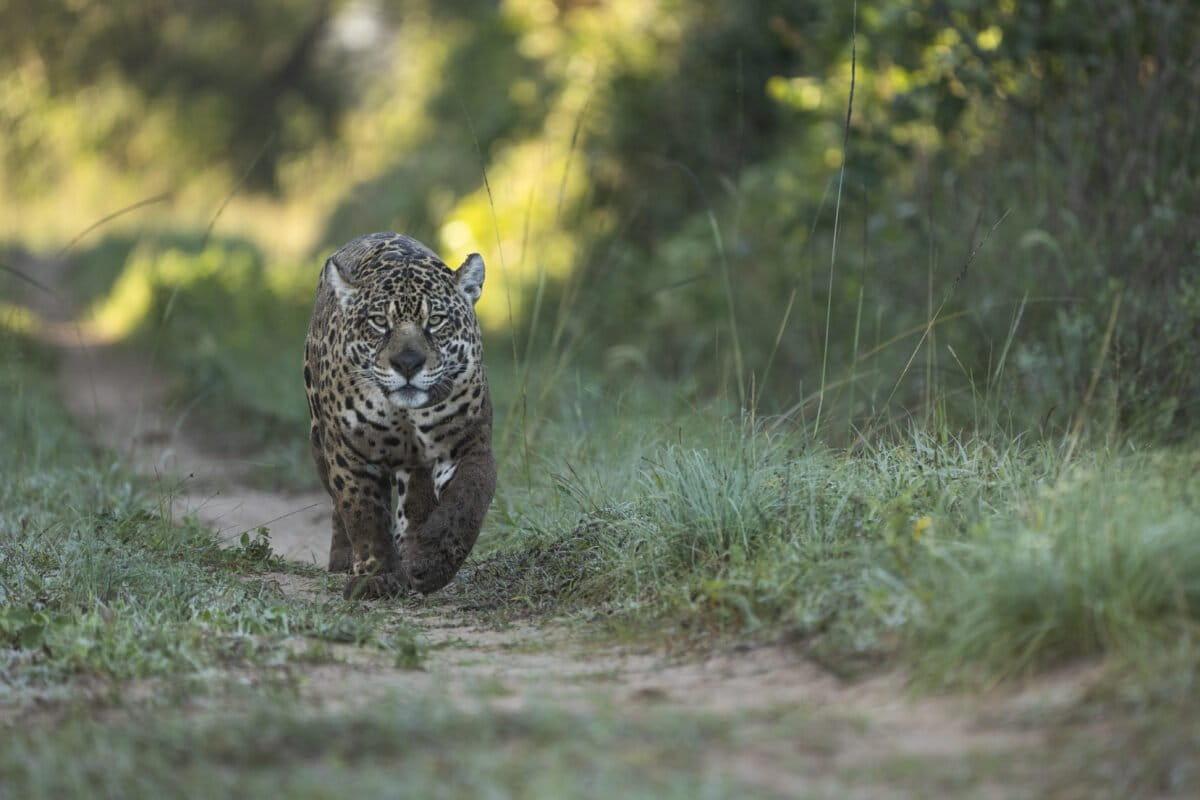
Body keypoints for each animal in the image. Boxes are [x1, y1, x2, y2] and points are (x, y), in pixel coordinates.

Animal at [303, 232, 496, 599]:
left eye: (435, 320)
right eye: (380, 322)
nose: (407, 363)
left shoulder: (469, 445)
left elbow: (466, 502)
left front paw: (430, 563)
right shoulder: (351, 453)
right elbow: (362, 513)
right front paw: (376, 577)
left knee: (415, 501)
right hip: (319, 441)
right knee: (336, 506)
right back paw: (343, 559)